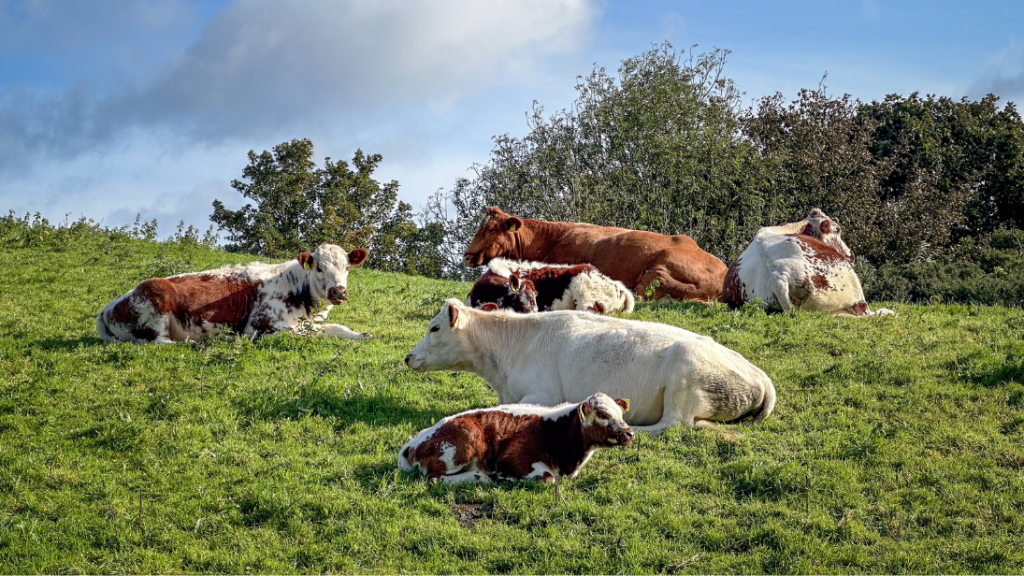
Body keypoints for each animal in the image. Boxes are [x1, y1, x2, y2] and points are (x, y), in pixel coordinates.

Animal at [97, 244, 373, 344]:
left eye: (347, 267)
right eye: (319, 267)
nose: (338, 291)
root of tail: (107, 307)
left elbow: (337, 329)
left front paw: (363, 335)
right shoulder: (259, 322)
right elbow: (294, 335)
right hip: (156, 300)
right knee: (162, 341)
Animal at [398, 392, 633, 484]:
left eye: (621, 414)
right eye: (603, 415)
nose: (629, 433)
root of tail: (411, 444)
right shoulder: (512, 458)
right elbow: (545, 477)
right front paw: (502, 476)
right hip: (465, 442)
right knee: (435, 478)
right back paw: (482, 477)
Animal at [404, 300, 775, 435]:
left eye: (434, 328)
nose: (408, 357)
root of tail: (761, 377)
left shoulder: (544, 393)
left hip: (683, 379)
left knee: (672, 424)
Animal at [722, 208, 896, 317]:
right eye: (837, 229)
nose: (850, 255)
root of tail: (778, 276)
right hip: (854, 291)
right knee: (866, 312)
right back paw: (888, 312)